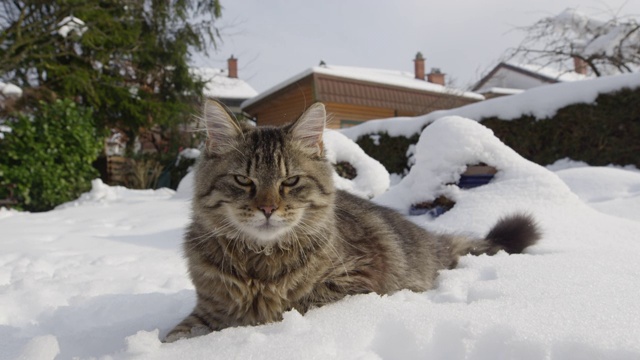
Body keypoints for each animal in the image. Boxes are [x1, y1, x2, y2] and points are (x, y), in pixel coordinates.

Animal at [162, 101, 536, 344]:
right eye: (243, 181)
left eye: (290, 182)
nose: (268, 208)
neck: (260, 262)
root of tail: (432, 239)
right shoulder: (208, 309)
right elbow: (177, 334)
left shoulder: (357, 277)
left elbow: (297, 303)